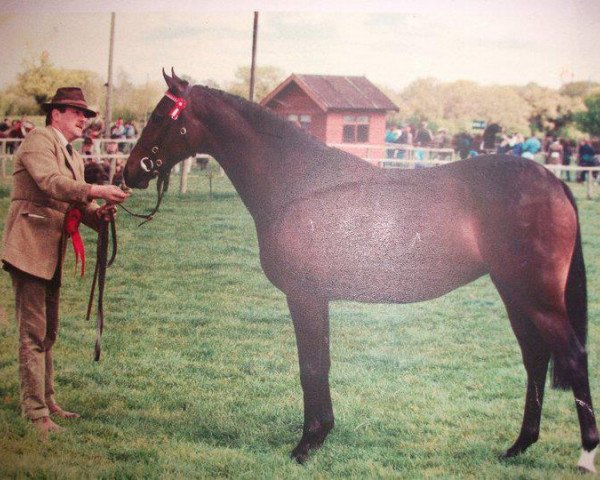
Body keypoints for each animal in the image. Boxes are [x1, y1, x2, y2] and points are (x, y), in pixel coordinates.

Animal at [123, 71, 600, 472]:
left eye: (160, 116)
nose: (130, 172)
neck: (296, 183)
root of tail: (553, 181)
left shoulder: (305, 296)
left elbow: (311, 366)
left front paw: (306, 445)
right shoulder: (316, 298)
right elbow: (320, 362)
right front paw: (319, 436)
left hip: (536, 296)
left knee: (573, 356)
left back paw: (585, 455)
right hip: (514, 292)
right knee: (535, 358)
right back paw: (517, 447)